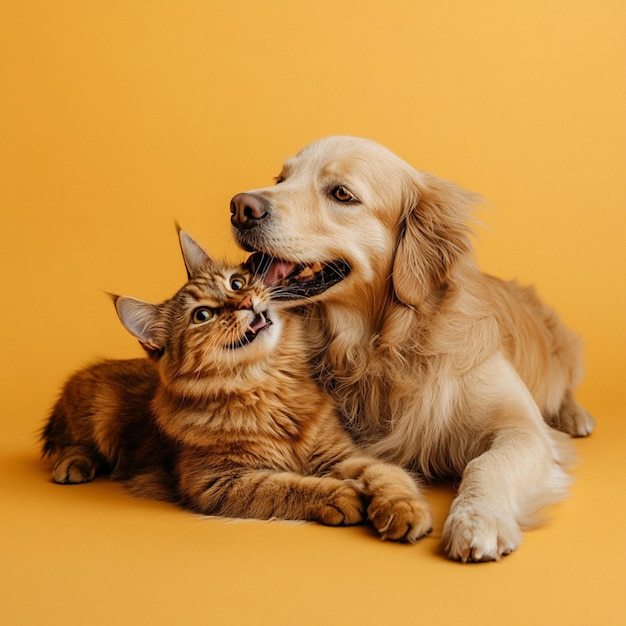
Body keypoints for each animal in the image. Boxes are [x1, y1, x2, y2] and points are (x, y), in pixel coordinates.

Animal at [41, 229, 432, 540]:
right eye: (202, 315)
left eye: (236, 283)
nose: (245, 302)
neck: (270, 388)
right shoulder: (219, 481)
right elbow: (285, 486)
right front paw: (339, 495)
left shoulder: (343, 454)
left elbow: (388, 475)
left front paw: (404, 509)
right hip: (97, 408)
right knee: (71, 445)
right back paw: (73, 466)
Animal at [227, 133, 592, 560]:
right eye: (281, 179)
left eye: (341, 194)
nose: (240, 207)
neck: (380, 347)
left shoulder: (522, 428)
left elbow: (486, 464)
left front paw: (477, 520)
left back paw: (576, 417)